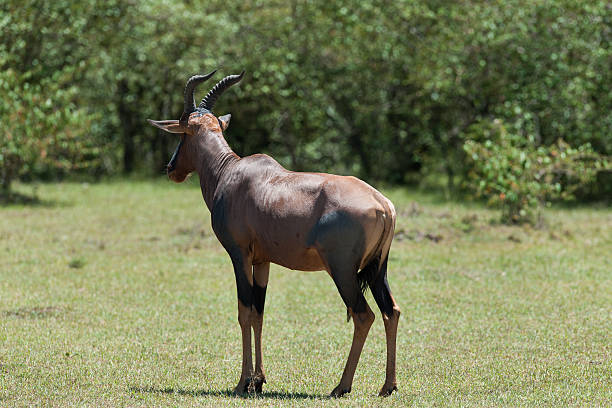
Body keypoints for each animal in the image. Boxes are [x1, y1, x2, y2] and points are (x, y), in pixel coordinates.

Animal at [149, 71, 402, 398]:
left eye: (182, 133)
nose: (171, 169)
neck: (231, 172)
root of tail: (383, 204)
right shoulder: (263, 261)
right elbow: (259, 313)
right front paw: (258, 381)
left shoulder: (239, 255)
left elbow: (244, 311)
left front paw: (242, 383)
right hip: (377, 269)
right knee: (391, 311)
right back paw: (388, 386)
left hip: (343, 270)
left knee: (363, 315)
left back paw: (341, 386)